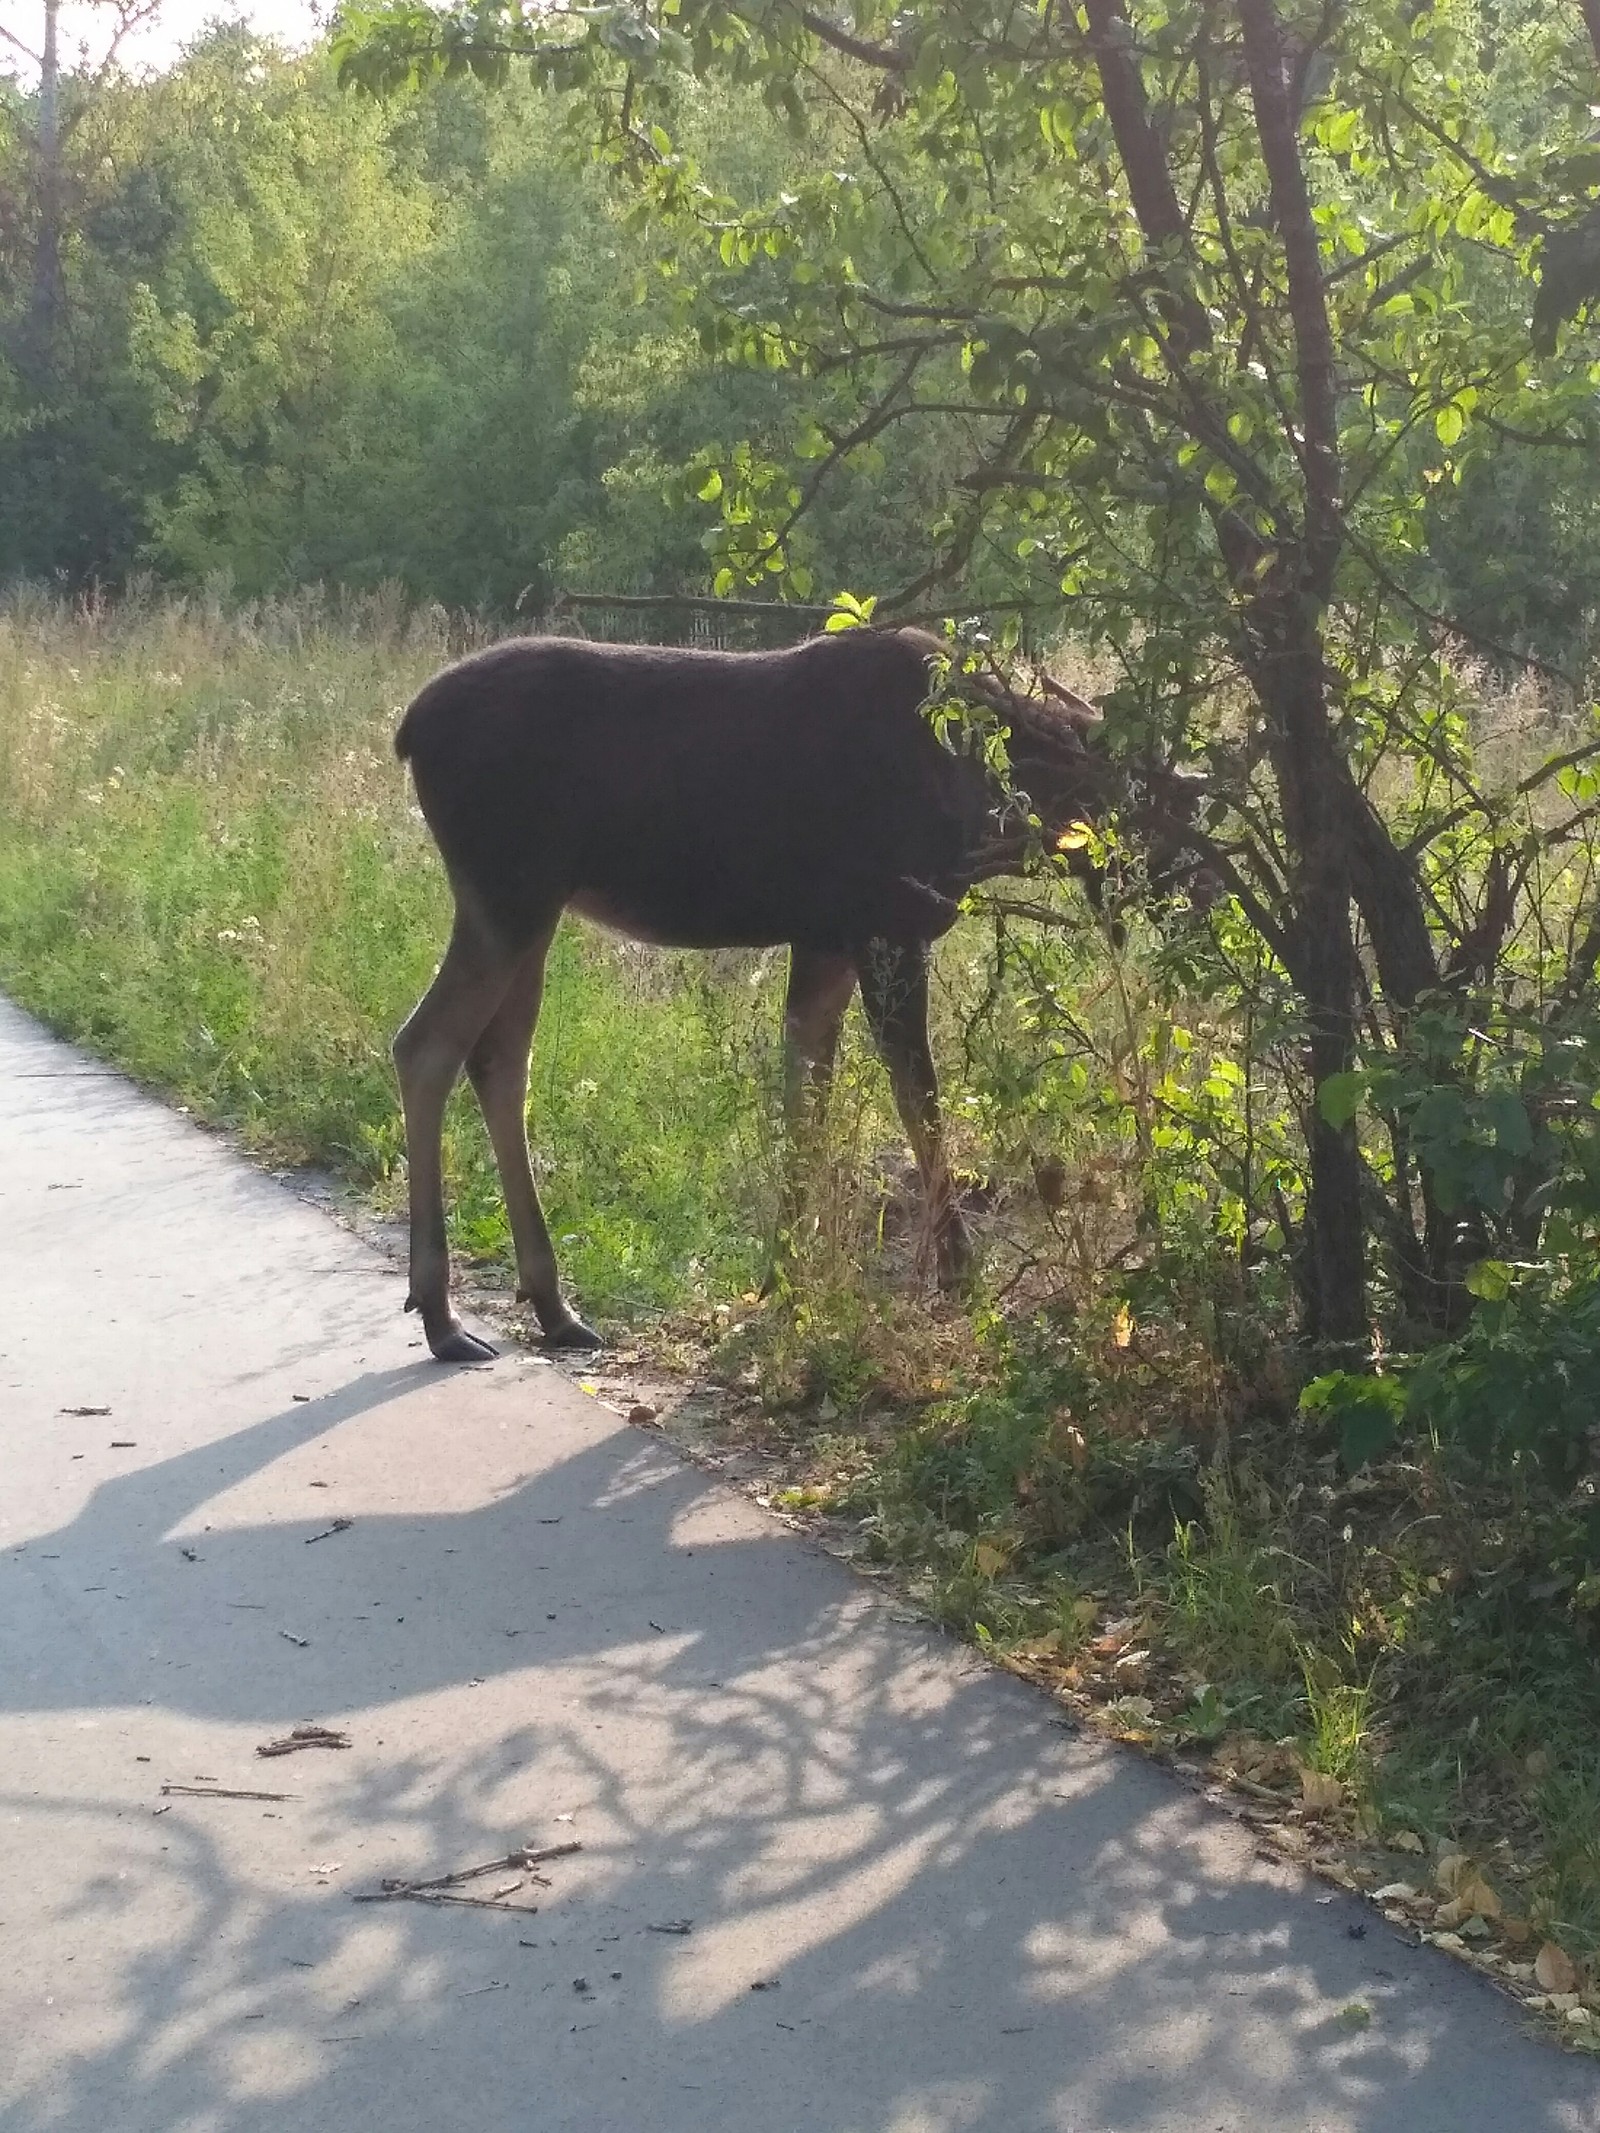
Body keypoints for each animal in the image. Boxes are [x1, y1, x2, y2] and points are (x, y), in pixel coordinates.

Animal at [392, 622, 1203, 1356]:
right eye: (1167, 810)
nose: (1199, 895)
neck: (990, 811)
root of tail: (408, 732)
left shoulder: (825, 942)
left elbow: (807, 1102)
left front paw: (784, 1278)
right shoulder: (886, 929)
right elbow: (919, 1104)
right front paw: (959, 1276)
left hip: (533, 907)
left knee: (499, 1059)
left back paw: (550, 1303)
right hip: (508, 893)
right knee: (425, 1045)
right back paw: (442, 1313)